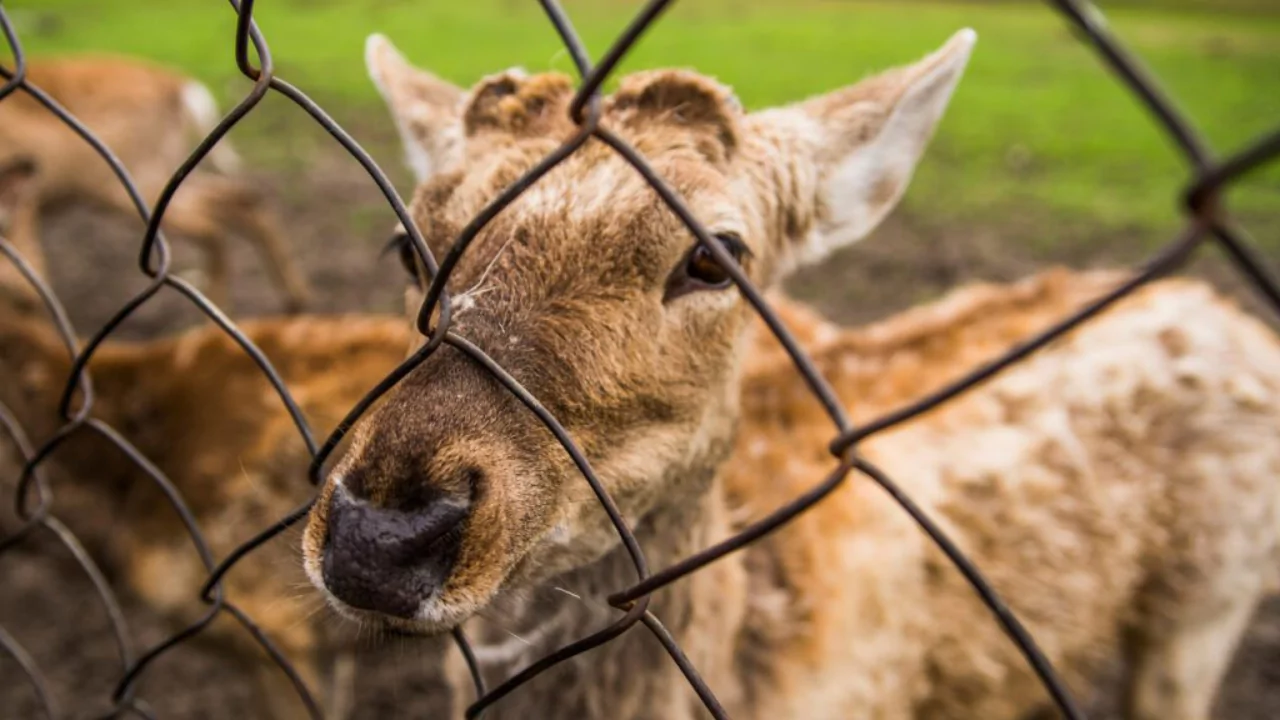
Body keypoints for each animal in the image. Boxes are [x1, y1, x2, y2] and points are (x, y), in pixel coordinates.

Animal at [0, 55, 313, 313]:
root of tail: (179, 86)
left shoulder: (23, 206)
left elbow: (32, 281)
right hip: (165, 171)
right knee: (243, 198)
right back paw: (293, 298)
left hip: (129, 182)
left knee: (211, 226)